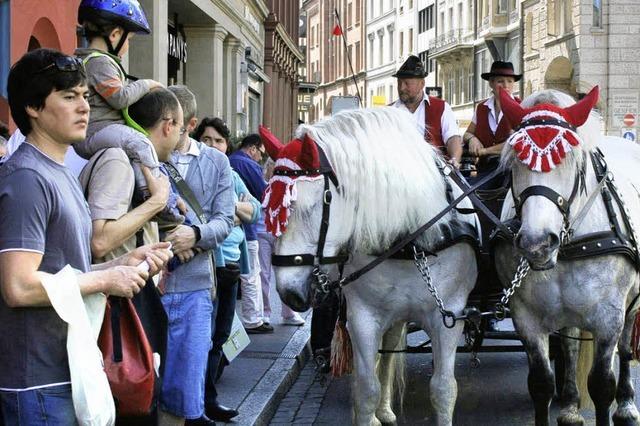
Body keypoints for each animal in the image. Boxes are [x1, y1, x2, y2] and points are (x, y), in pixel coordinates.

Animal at [262, 108, 478, 424]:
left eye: (311, 207)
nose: (289, 293)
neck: (409, 241)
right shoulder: (363, 318)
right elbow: (366, 389)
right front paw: (370, 411)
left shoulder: (448, 316)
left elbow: (443, 389)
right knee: (384, 355)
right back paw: (383, 410)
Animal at [496, 87, 640, 426]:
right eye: (515, 163)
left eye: (571, 162)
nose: (536, 244)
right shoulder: (526, 318)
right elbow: (541, 384)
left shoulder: (608, 317)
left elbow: (601, 385)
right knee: (570, 347)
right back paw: (572, 407)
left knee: (626, 345)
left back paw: (627, 403)